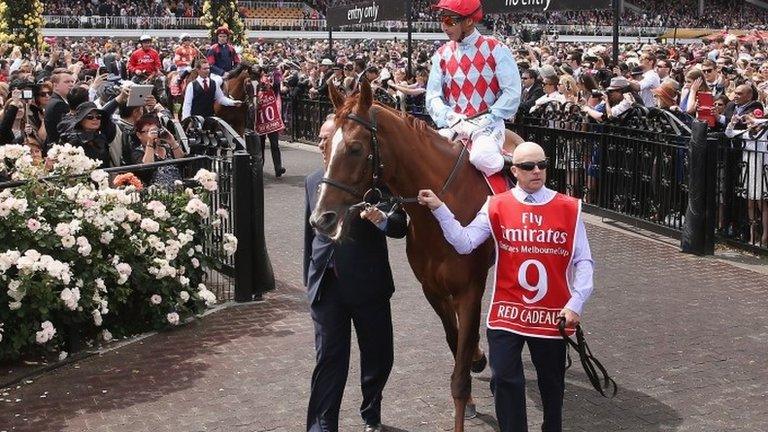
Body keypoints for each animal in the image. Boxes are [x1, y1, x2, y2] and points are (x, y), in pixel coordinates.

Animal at [308, 80, 516, 428]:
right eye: (324, 148)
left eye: (354, 149)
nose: (321, 218)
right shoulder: (432, 290)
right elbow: (455, 344)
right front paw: (473, 366)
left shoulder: (469, 289)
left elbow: (459, 377)